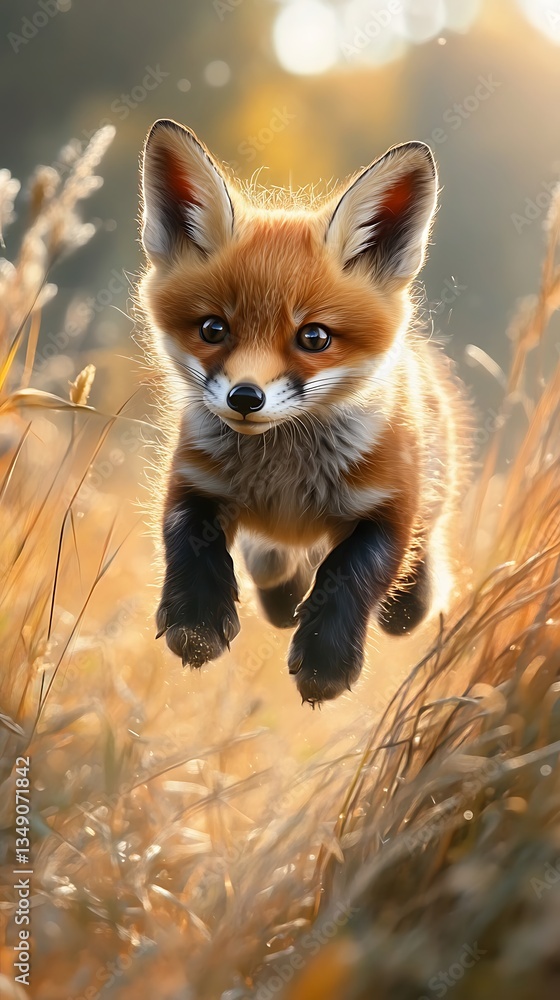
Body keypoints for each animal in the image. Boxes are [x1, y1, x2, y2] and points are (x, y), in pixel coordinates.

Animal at [138, 119, 469, 706]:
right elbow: (186, 538)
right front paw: (196, 622)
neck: (285, 478)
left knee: (413, 578)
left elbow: (351, 572)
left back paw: (409, 602)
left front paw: (325, 661)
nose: (245, 398)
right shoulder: (194, 477)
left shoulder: (390, 504)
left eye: (314, 337)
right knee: (270, 566)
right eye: (213, 329)